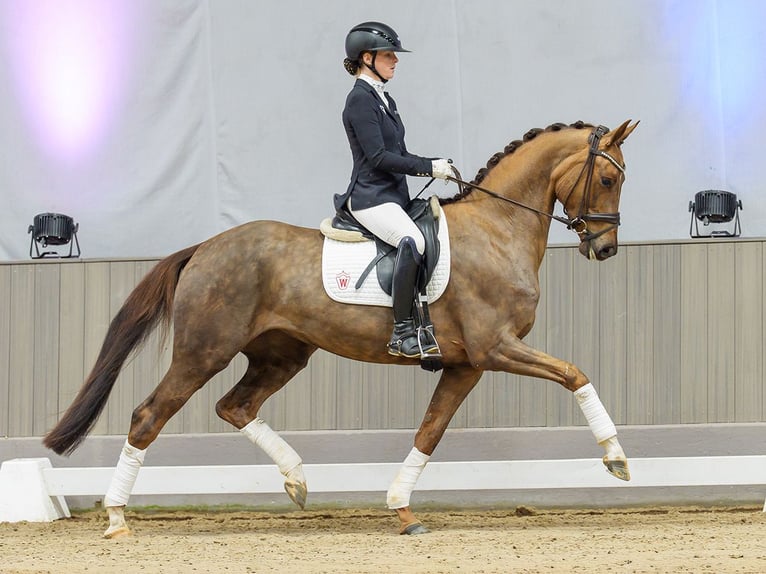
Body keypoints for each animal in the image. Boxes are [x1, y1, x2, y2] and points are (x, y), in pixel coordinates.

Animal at [43, 119, 639, 538]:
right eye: (609, 178)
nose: (606, 249)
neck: (498, 230)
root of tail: (205, 247)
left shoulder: (466, 365)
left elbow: (429, 432)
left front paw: (402, 510)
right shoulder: (495, 348)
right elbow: (575, 373)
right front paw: (615, 458)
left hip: (282, 354)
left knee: (235, 406)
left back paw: (297, 480)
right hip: (203, 352)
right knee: (149, 416)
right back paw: (116, 518)